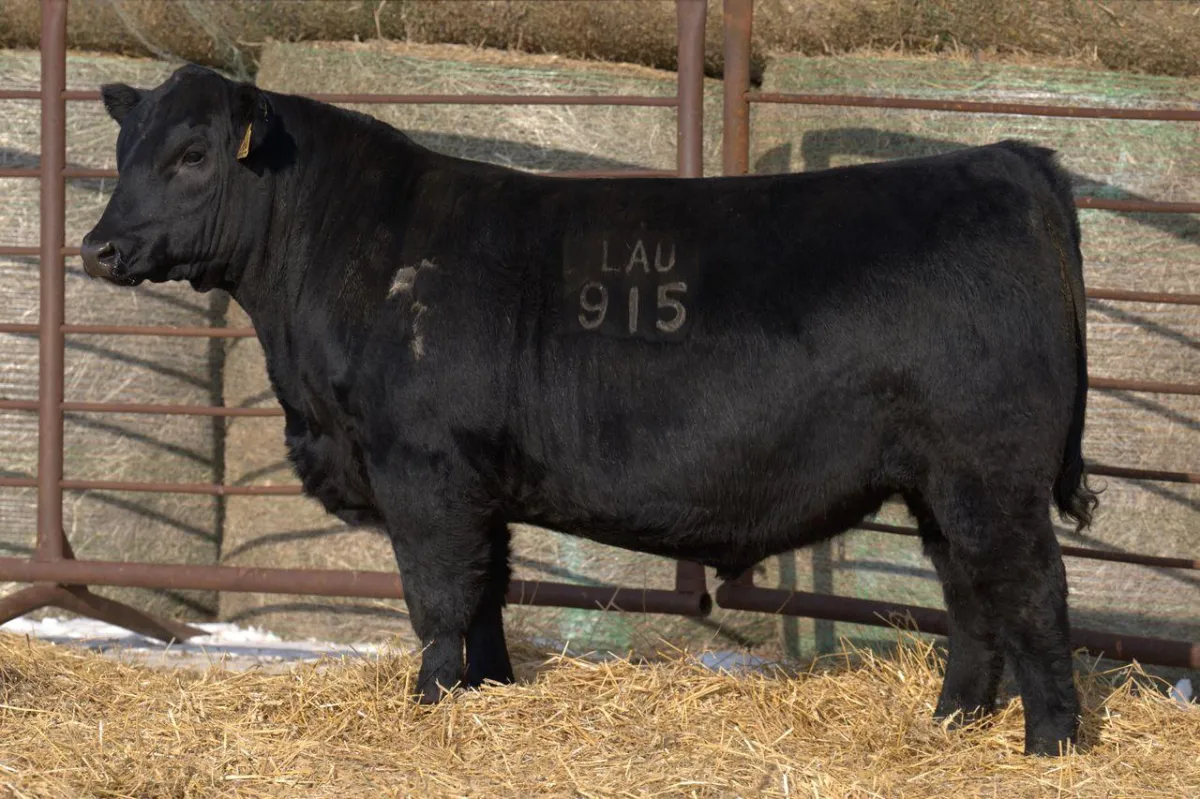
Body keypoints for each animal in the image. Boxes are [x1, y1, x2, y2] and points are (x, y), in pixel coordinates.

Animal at [81, 64, 1097, 756]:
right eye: (124, 152)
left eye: (193, 154)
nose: (98, 247)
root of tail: (1009, 161)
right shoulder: (478, 486)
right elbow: (487, 596)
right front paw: (487, 695)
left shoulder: (426, 473)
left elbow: (438, 600)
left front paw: (429, 707)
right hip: (941, 483)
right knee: (971, 596)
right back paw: (952, 723)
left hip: (990, 474)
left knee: (1030, 590)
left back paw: (1051, 745)